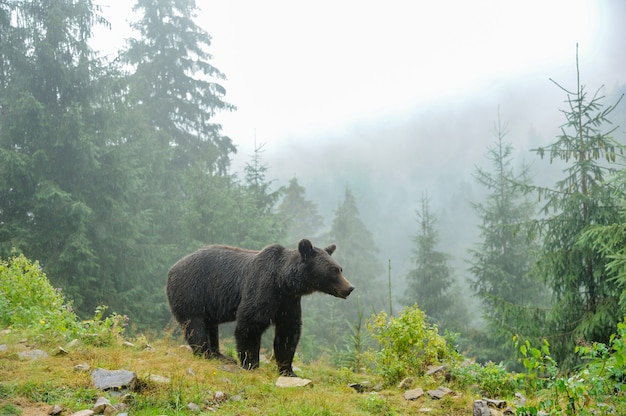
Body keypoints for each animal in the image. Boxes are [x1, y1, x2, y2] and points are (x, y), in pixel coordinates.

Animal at [166, 237, 354, 376]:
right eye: (334, 270)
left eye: (340, 269)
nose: (350, 288)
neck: (283, 282)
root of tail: (172, 269)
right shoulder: (262, 289)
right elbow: (250, 324)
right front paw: (251, 364)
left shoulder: (288, 302)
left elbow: (288, 332)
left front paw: (288, 370)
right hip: (192, 292)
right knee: (195, 325)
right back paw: (205, 354)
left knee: (211, 326)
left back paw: (220, 355)